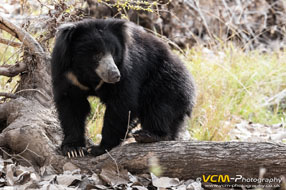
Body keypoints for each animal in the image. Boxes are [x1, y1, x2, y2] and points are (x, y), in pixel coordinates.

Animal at [50, 18, 194, 157]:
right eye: (97, 55)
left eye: (113, 52)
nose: (115, 75)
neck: (90, 75)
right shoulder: (67, 74)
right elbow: (72, 106)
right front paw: (73, 149)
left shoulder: (128, 69)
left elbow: (121, 104)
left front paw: (100, 148)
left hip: (167, 81)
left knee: (159, 107)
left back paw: (148, 135)